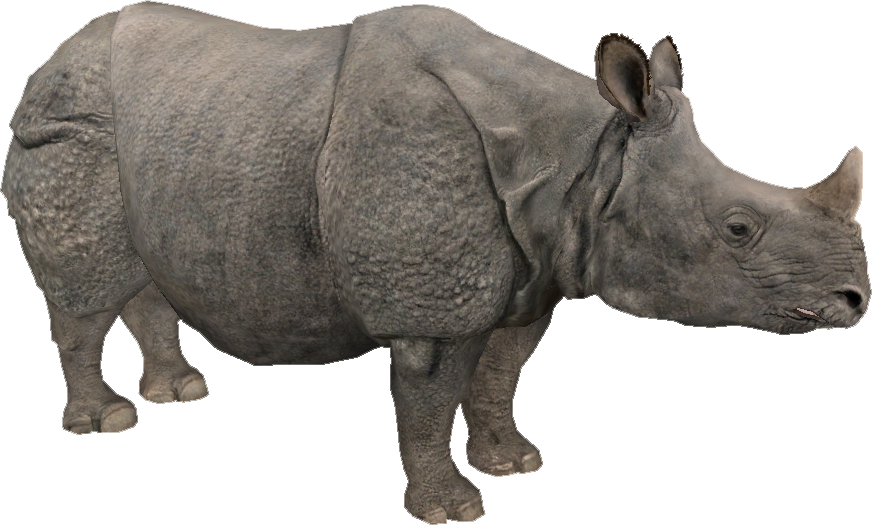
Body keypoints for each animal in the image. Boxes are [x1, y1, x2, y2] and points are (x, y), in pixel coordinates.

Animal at [2, 2, 868, 523]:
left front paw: (515, 461)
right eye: (738, 227)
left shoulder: (537, 271)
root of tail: (48, 58)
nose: (856, 299)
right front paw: (452, 507)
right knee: (85, 291)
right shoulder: (429, 302)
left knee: (138, 276)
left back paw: (180, 391)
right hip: (68, 124)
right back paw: (108, 420)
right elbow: (430, 394)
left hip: (174, 126)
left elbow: (501, 373)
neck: (578, 156)